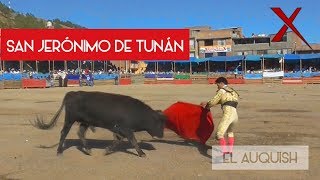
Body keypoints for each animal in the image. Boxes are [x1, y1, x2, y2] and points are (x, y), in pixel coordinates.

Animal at [30, 90, 168, 157]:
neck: (136, 111)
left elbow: (118, 141)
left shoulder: (119, 130)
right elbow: (133, 140)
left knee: (80, 133)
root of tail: (72, 93)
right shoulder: (126, 129)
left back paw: (88, 150)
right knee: (64, 132)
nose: (162, 135)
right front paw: (142, 153)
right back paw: (59, 151)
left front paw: (107, 150)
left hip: (85, 122)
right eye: (159, 123)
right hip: (70, 119)